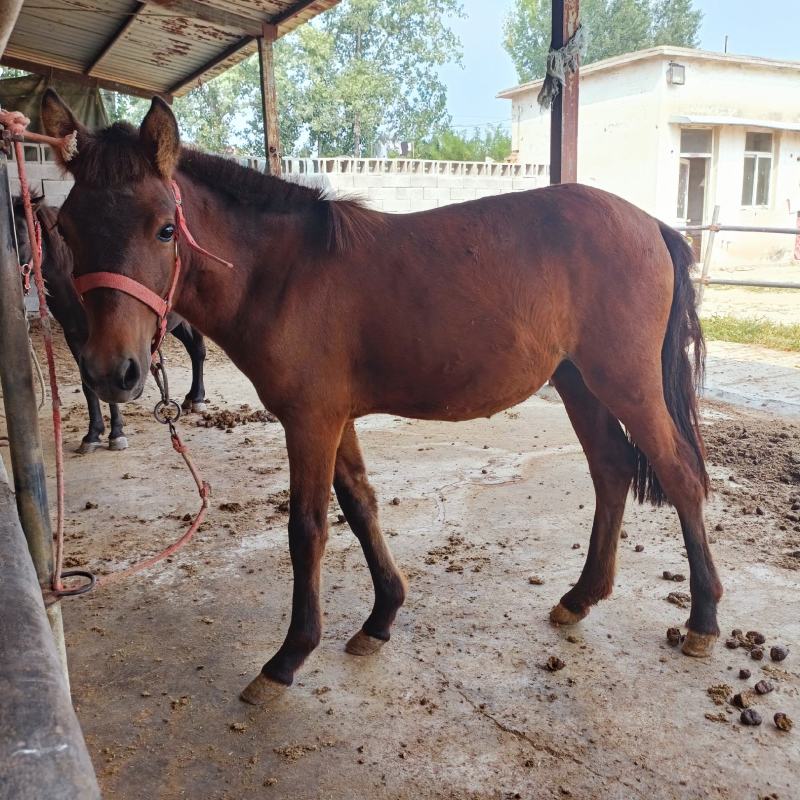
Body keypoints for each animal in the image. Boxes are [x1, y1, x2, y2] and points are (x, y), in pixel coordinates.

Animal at [13, 193, 209, 453]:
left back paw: (197, 399)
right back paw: (190, 399)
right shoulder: (75, 337)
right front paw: (93, 434)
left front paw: (116, 434)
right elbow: (89, 386)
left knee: (198, 349)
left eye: (22, 238)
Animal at [41, 90, 721, 707]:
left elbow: (308, 528)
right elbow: (361, 504)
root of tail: (652, 224)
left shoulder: (310, 421)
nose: (112, 372)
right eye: (67, 229)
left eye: (164, 228)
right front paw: (380, 619)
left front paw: (288, 658)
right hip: (580, 381)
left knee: (680, 475)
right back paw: (581, 598)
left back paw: (703, 620)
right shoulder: (335, 418)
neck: (284, 273)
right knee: (612, 469)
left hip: (626, 382)